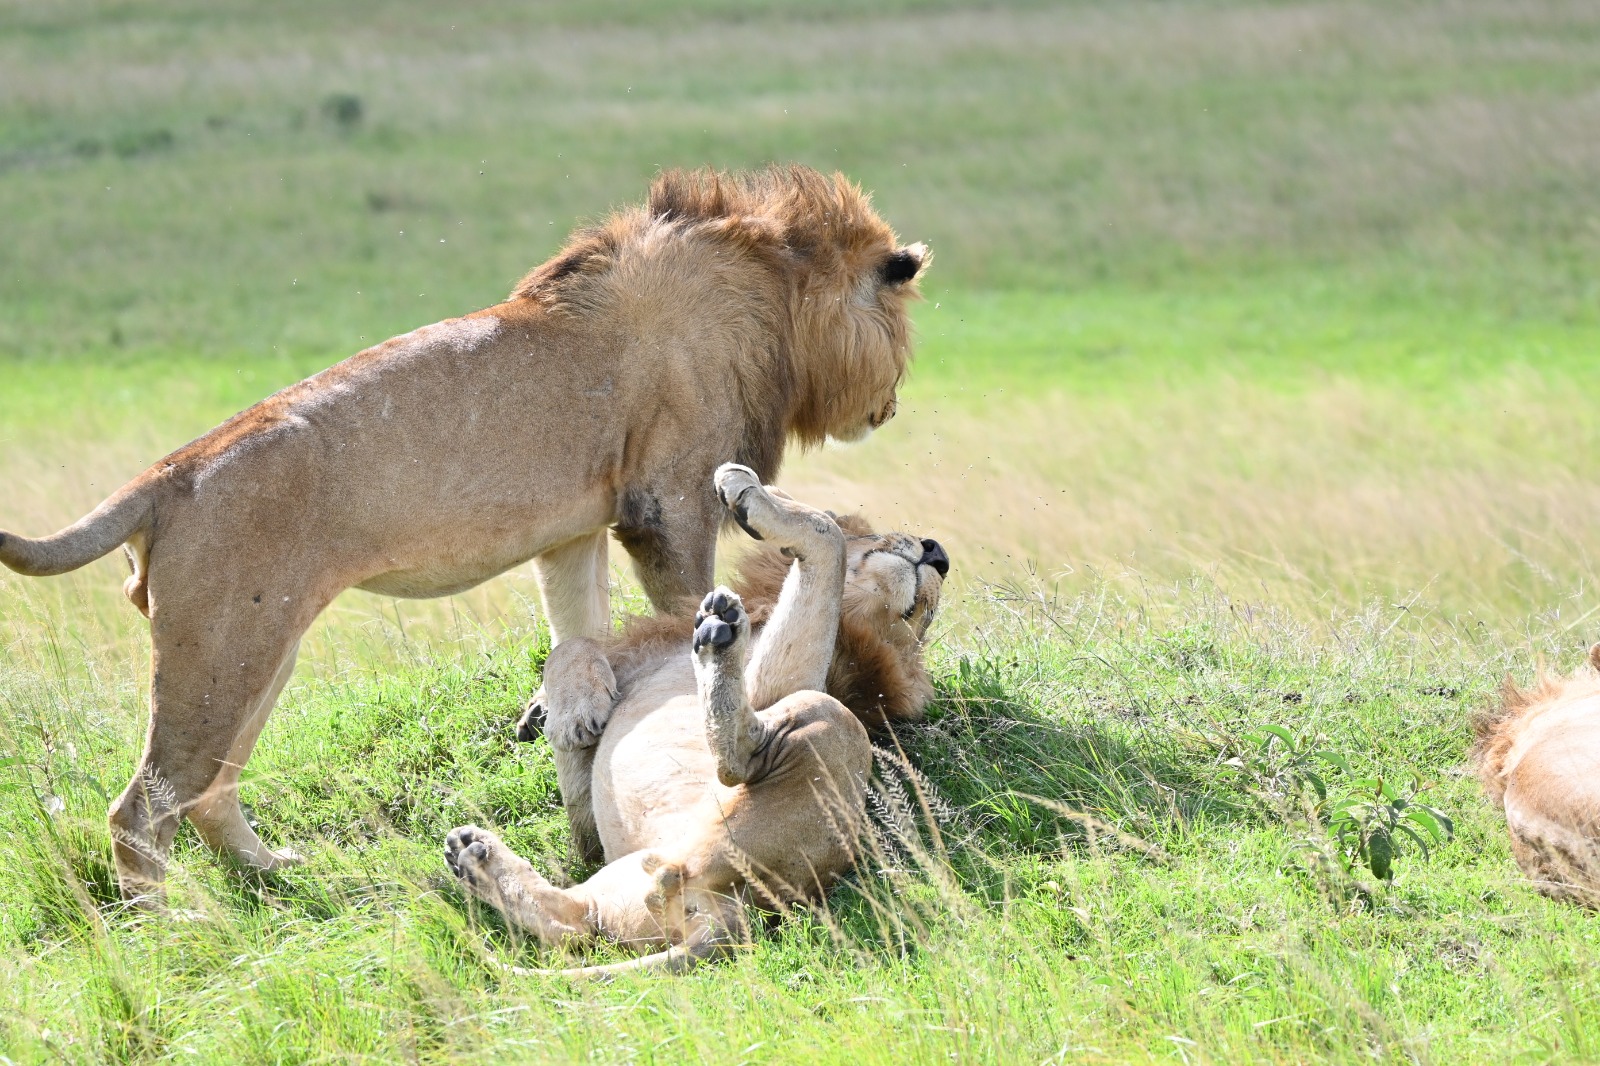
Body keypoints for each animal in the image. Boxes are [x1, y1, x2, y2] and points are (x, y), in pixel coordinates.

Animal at [0, 165, 928, 901]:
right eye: (902, 326)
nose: (893, 405)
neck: (773, 288)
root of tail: (168, 473)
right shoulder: (669, 505)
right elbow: (683, 601)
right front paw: (708, 647)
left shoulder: (574, 530)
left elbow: (581, 630)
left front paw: (571, 710)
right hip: (220, 654)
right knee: (139, 810)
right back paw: (170, 927)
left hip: (256, 649)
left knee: (207, 793)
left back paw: (272, 873)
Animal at [444, 463, 948, 974]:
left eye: (924, 615)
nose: (940, 554)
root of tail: (734, 917)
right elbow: (570, 646)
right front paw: (563, 715)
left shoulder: (783, 684)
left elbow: (827, 538)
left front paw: (753, 500)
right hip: (621, 889)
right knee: (576, 923)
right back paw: (474, 856)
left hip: (822, 720)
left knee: (737, 764)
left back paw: (719, 638)